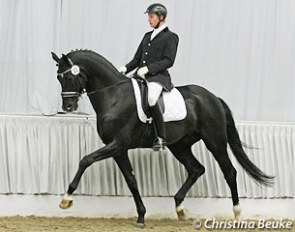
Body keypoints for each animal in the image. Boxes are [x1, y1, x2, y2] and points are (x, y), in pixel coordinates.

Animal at [51, 49, 276, 226]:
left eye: (69, 77)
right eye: (59, 78)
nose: (68, 107)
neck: (114, 96)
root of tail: (213, 97)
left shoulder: (117, 144)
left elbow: (85, 160)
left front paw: (66, 199)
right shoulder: (118, 149)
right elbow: (131, 180)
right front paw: (141, 216)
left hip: (215, 141)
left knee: (229, 172)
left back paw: (236, 214)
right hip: (180, 146)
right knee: (196, 169)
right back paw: (180, 208)